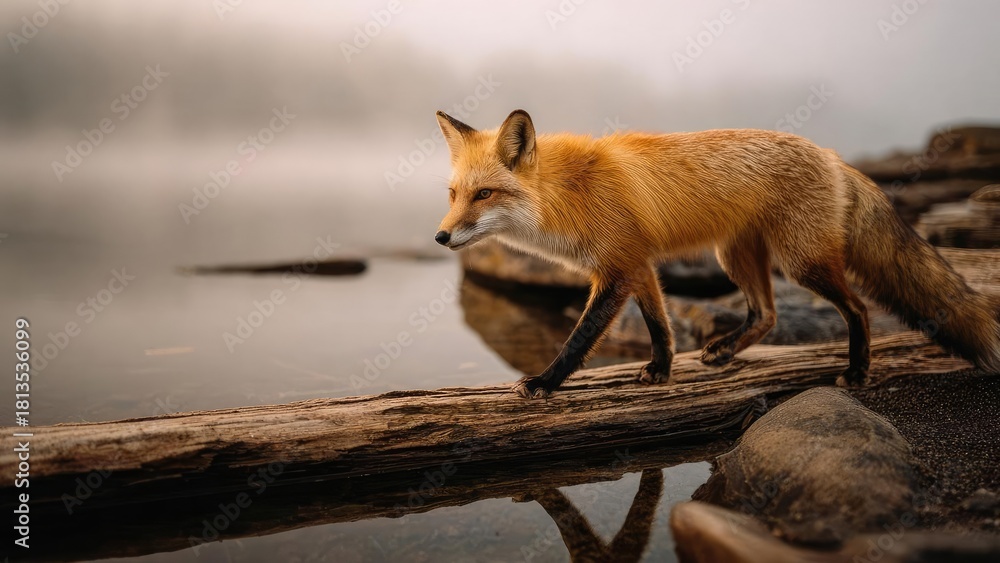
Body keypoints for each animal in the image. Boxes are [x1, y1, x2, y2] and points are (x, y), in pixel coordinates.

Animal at [433, 109, 1000, 399]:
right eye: (454, 194)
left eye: (484, 195)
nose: (440, 237)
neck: (567, 194)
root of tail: (831, 155)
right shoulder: (638, 265)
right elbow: (660, 325)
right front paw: (662, 370)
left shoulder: (617, 269)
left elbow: (581, 338)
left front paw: (547, 381)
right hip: (735, 256)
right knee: (767, 314)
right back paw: (726, 351)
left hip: (801, 262)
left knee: (857, 308)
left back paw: (858, 372)